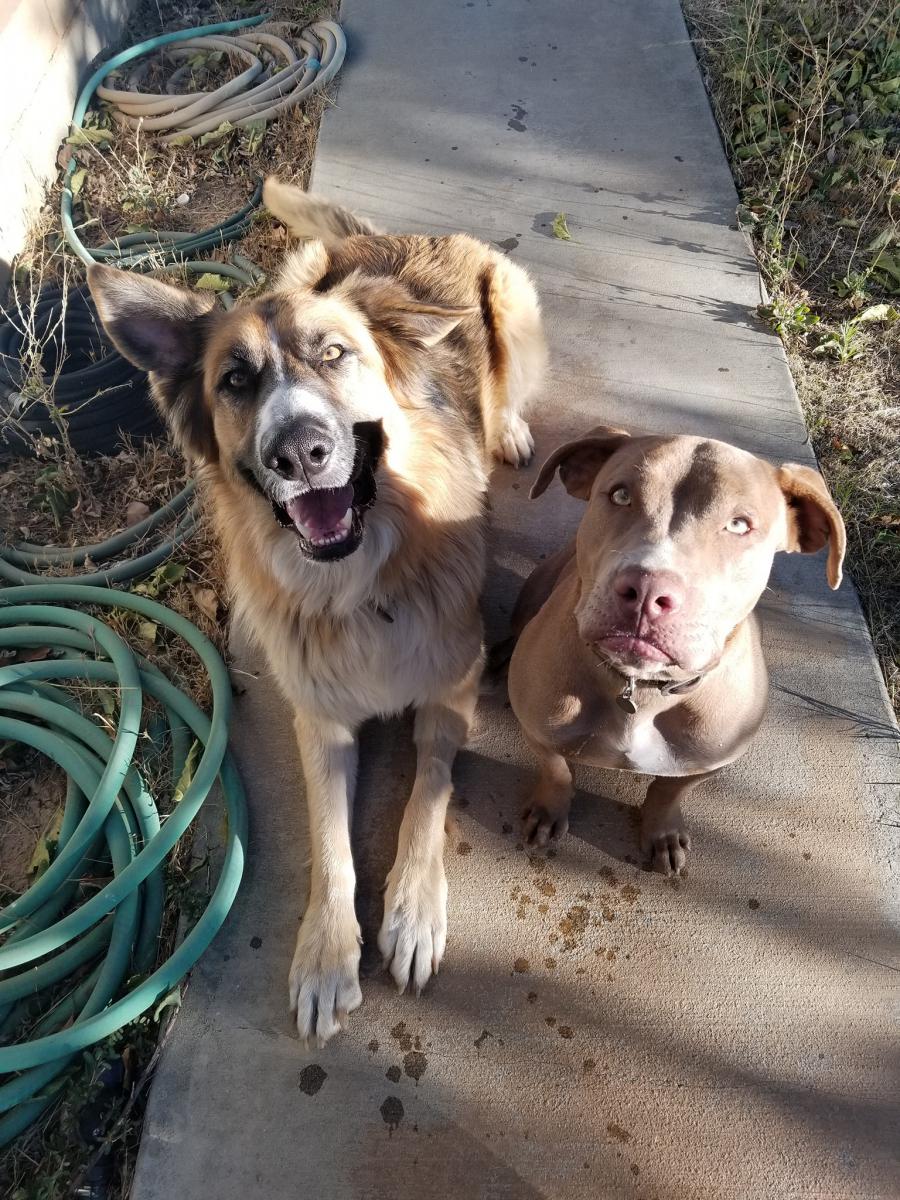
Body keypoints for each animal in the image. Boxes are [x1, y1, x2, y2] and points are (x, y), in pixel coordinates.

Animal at [88, 179, 546, 1042]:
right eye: (235, 381)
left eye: (334, 354)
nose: (298, 452)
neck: (360, 587)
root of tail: (392, 239)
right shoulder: (321, 721)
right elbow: (331, 843)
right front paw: (327, 952)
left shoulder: (452, 688)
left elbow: (426, 796)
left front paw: (412, 911)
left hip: (514, 304)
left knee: (510, 383)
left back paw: (505, 425)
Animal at [507, 427, 846, 874]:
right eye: (620, 495)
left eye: (739, 525)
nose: (646, 589)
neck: (641, 688)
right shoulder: (538, 728)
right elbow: (557, 770)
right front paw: (549, 811)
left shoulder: (708, 760)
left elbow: (668, 792)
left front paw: (662, 832)